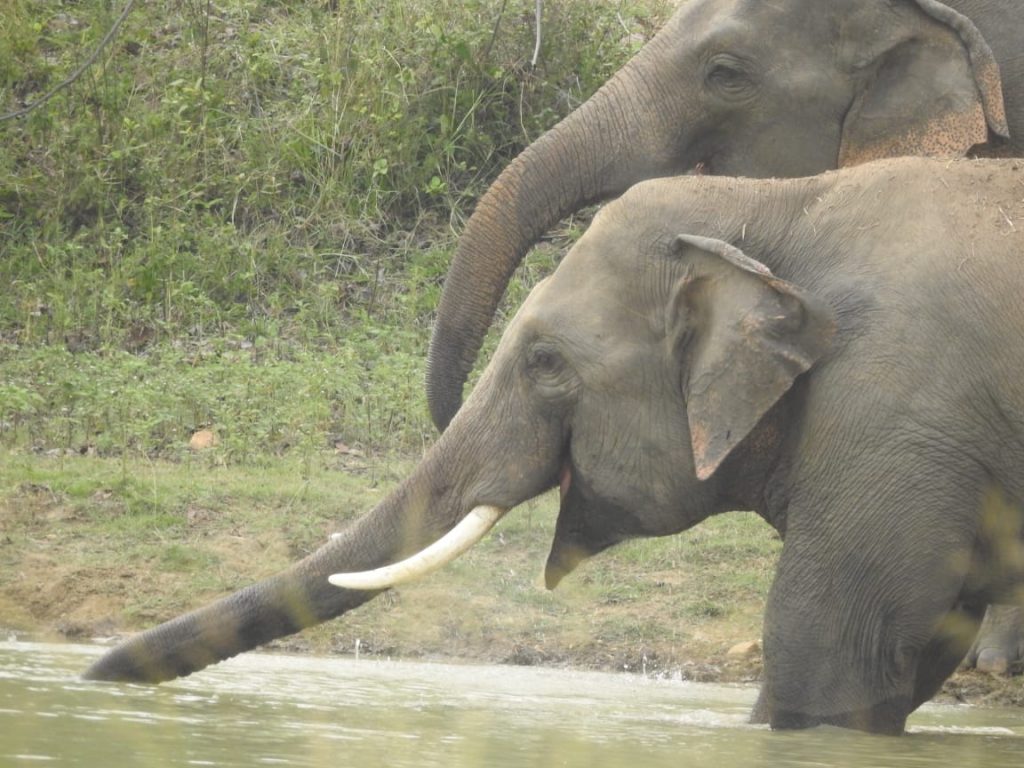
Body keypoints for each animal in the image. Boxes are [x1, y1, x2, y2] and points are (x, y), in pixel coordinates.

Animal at [84, 156, 1024, 735]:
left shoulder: (897, 408)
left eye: (544, 363)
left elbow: (829, 660)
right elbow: (902, 669)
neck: (784, 202)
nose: (88, 675)